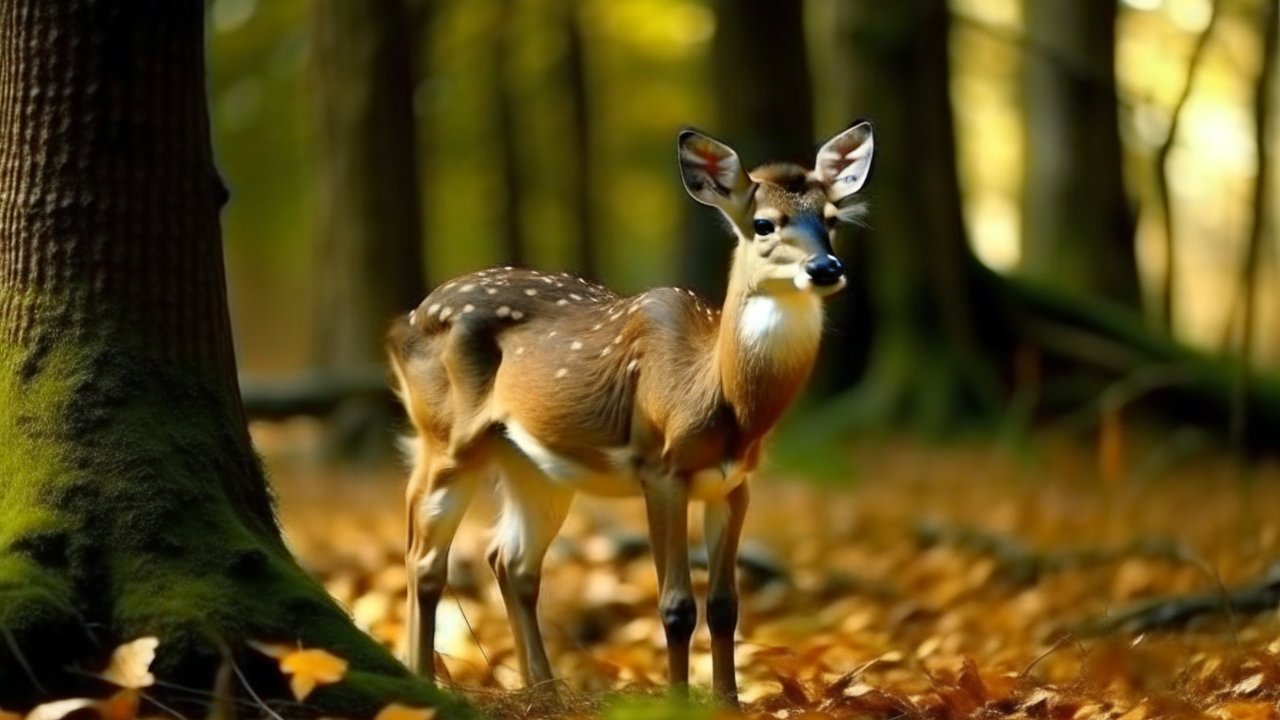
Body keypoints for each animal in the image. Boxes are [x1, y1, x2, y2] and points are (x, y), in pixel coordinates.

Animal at [386, 122, 874, 702]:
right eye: (763, 224)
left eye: (832, 219)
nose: (825, 268)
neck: (716, 399)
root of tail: (403, 323)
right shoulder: (659, 467)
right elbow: (676, 606)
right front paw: (680, 703)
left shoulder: (736, 482)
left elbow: (726, 607)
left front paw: (729, 702)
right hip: (444, 435)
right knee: (423, 557)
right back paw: (420, 682)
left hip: (533, 464)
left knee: (511, 561)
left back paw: (545, 692)